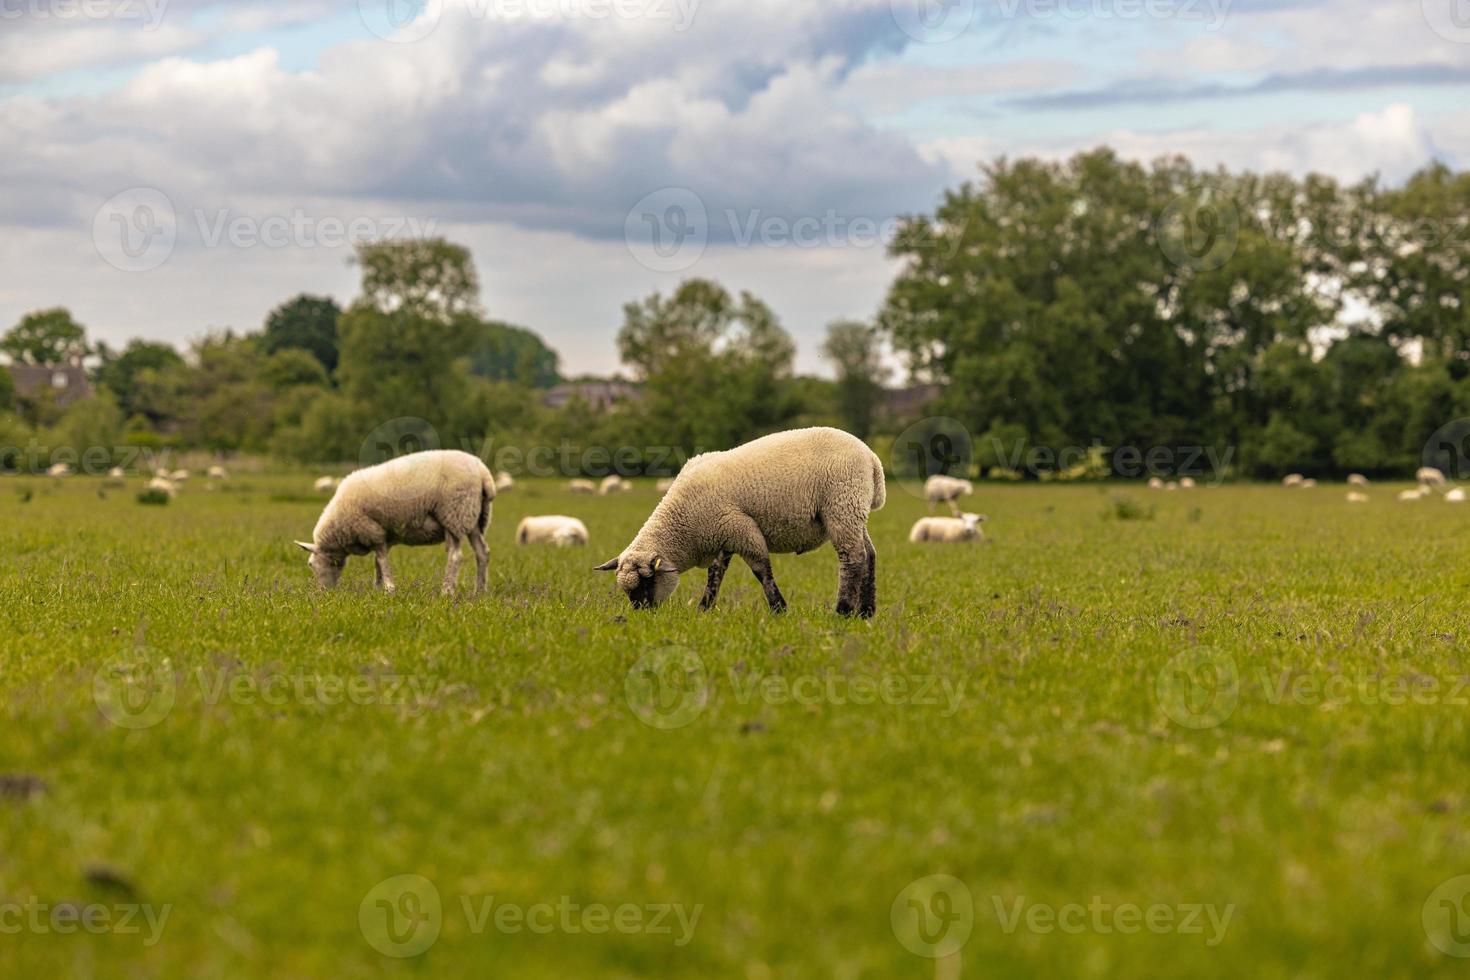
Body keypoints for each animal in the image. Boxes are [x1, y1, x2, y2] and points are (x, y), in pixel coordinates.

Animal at [295, 452, 496, 599]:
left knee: (455, 557)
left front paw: (389, 589)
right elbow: (378, 561)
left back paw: (446, 591)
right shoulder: (385, 534)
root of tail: (483, 472)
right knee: (482, 552)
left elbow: (382, 561)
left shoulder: (372, 530)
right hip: (474, 518)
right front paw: (378, 589)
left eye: (311, 564)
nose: (323, 593)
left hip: (454, 513)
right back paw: (480, 591)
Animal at [593, 426, 882, 617]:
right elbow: (715, 574)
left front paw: (779, 609)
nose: (642, 614)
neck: (681, 523)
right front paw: (704, 609)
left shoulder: (741, 529)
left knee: (852, 557)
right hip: (854, 511)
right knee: (869, 554)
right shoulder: (723, 535)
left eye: (646, 582)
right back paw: (866, 612)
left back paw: (843, 611)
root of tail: (872, 459)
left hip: (842, 507)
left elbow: (761, 571)